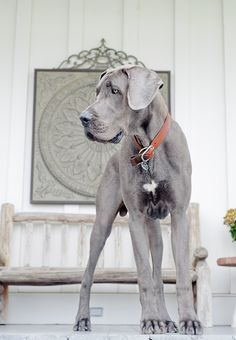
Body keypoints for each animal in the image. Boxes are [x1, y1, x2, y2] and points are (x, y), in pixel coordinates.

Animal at [74, 65, 203, 336]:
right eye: (97, 92)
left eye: (115, 91)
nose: (83, 118)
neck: (148, 147)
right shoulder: (135, 218)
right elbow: (143, 273)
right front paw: (150, 320)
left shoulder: (179, 215)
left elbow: (180, 276)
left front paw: (188, 320)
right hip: (102, 226)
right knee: (87, 275)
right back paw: (82, 319)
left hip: (155, 232)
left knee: (158, 275)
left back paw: (167, 320)